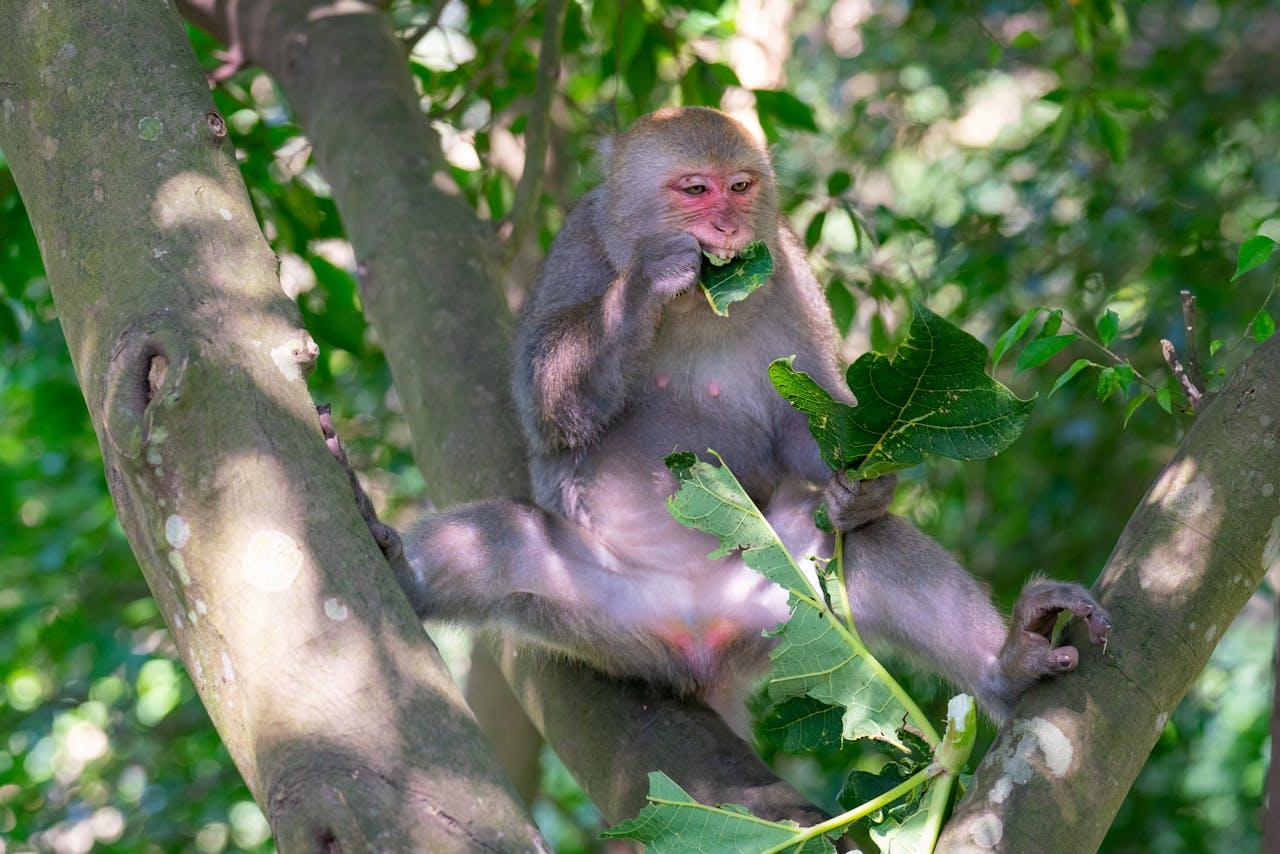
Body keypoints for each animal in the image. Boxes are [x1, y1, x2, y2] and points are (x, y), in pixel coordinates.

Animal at [330, 104, 1111, 737]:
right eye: (693, 189)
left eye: (740, 187)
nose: (727, 225)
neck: (697, 304)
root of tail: (697, 638)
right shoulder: (577, 248)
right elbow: (546, 404)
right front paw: (645, 281)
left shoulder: (788, 266)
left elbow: (812, 418)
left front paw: (864, 486)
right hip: (607, 623)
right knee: (505, 539)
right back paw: (404, 574)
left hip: (783, 607)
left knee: (862, 546)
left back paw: (1006, 663)